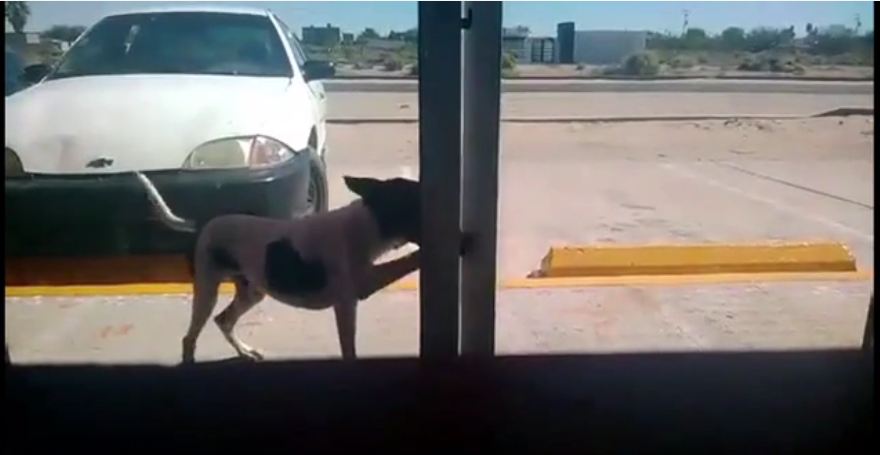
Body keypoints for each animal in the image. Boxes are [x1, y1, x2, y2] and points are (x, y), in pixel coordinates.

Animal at [136, 173, 468, 366]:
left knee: (223, 320)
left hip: (252, 291)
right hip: (207, 288)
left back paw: (245, 352)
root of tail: (202, 223)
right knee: (190, 336)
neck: (368, 223)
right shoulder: (354, 294)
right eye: (418, 204)